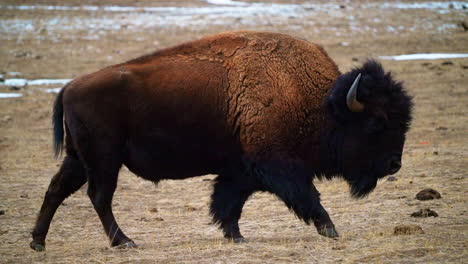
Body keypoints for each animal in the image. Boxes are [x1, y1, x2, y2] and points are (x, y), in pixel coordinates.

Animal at [30, 31, 410, 250]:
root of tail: (69, 87)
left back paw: (38, 242)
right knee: (99, 197)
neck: (321, 102)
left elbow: (229, 202)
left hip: (80, 160)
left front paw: (234, 235)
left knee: (57, 190)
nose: (395, 164)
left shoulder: (240, 170)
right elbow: (306, 196)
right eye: (377, 122)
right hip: (104, 161)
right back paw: (124, 242)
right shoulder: (278, 165)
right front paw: (330, 229)